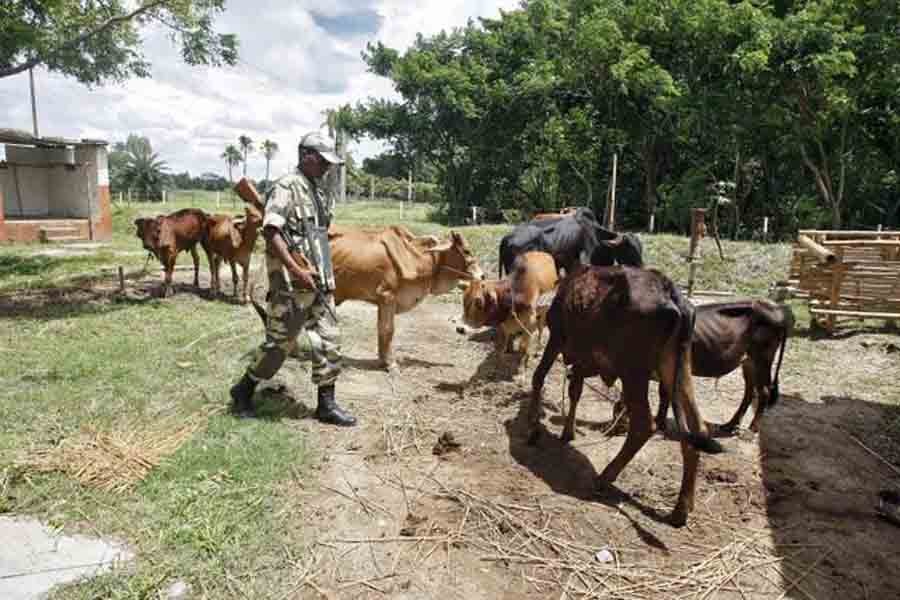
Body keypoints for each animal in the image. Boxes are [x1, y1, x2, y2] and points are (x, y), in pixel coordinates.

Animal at [330, 224, 486, 368]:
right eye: (466, 251)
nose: (482, 275)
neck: (416, 258)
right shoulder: (387, 296)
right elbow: (387, 329)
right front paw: (390, 363)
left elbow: (382, 328)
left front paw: (383, 360)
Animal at [528, 266, 724, 524]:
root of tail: (670, 291)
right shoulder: (582, 358)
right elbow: (575, 391)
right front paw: (567, 432)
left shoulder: (558, 337)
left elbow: (539, 377)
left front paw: (533, 429)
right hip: (678, 369)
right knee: (696, 430)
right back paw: (681, 509)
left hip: (633, 372)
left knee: (643, 425)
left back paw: (604, 477)